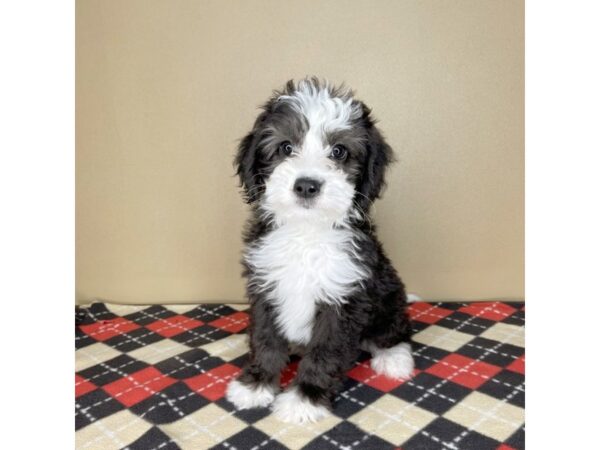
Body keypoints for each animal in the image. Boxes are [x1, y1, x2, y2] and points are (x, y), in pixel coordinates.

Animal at [225, 77, 412, 422]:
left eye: (338, 151)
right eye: (286, 147)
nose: (307, 185)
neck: (306, 231)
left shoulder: (344, 299)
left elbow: (325, 353)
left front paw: (305, 398)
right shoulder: (266, 287)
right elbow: (266, 340)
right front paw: (256, 384)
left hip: (389, 294)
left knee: (397, 329)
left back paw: (394, 358)